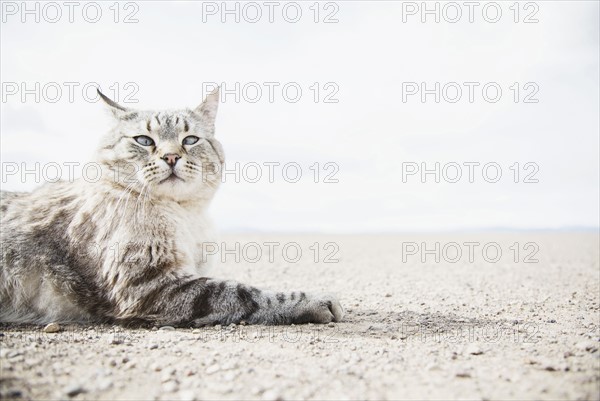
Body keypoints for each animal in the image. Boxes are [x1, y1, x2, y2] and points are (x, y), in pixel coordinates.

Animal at [0, 89, 344, 326]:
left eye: (190, 140)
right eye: (144, 140)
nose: (170, 156)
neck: (187, 215)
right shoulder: (154, 286)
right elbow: (249, 294)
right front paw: (314, 301)